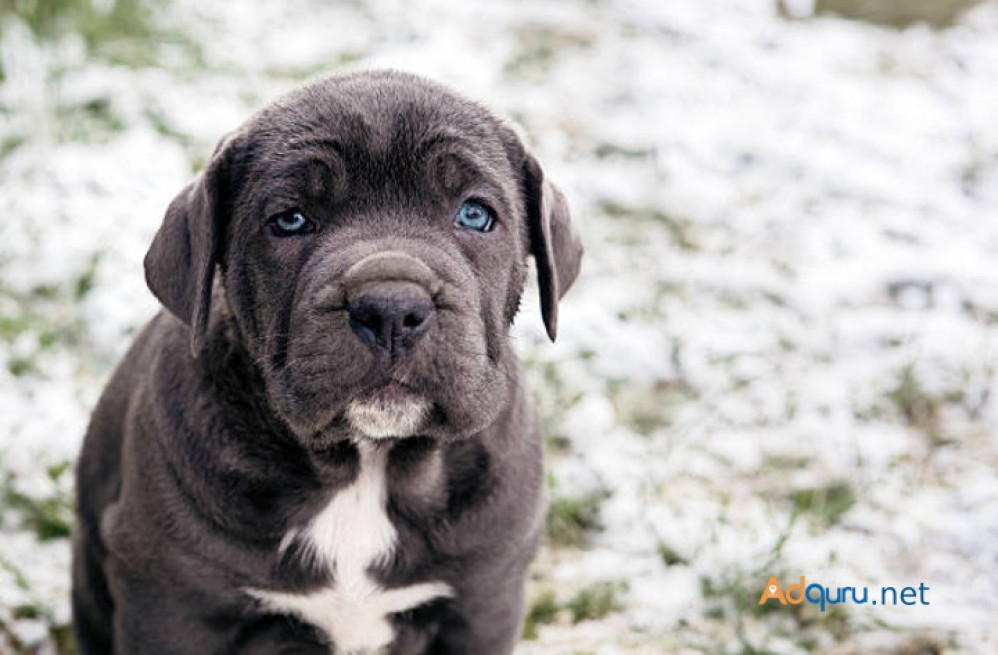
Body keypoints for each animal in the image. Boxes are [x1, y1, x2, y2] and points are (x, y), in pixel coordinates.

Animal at [70, 69, 584, 652]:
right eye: (290, 220)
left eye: (475, 215)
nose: (391, 307)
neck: (364, 464)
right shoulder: (172, 604)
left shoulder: (483, 601)